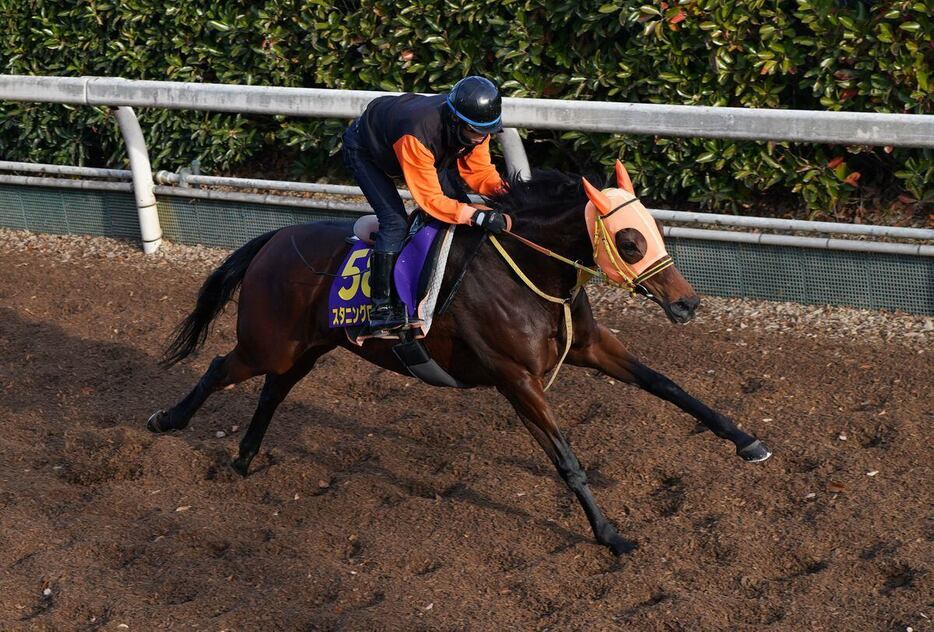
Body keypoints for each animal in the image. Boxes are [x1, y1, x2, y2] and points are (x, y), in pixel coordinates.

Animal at [150, 165, 772, 556]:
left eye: (656, 230)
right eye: (629, 241)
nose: (688, 303)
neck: (526, 269)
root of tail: (274, 237)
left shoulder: (592, 348)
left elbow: (670, 387)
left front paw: (747, 441)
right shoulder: (517, 379)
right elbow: (567, 461)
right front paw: (610, 535)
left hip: (310, 347)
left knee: (274, 389)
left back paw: (245, 456)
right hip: (269, 343)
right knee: (221, 369)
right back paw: (167, 420)